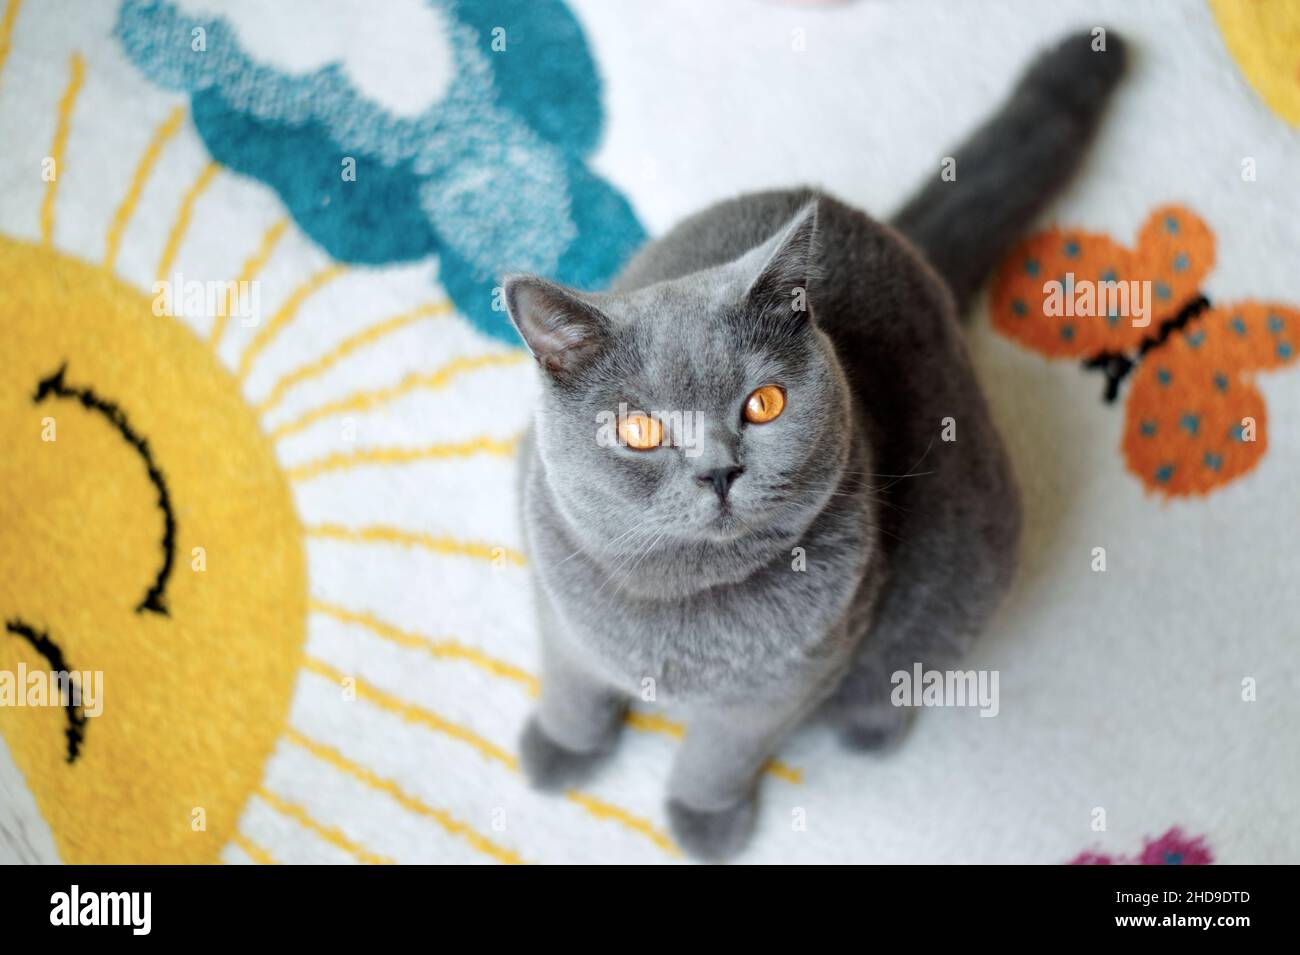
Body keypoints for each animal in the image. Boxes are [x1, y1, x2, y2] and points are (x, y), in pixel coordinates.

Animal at [501, 33, 1123, 862]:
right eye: (640, 431)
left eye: (763, 404)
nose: (720, 470)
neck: (685, 608)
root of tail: (895, 235)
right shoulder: (554, 600)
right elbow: (572, 683)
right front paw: (561, 750)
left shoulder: (787, 683)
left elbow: (719, 751)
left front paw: (704, 820)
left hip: (967, 566)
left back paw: (869, 727)